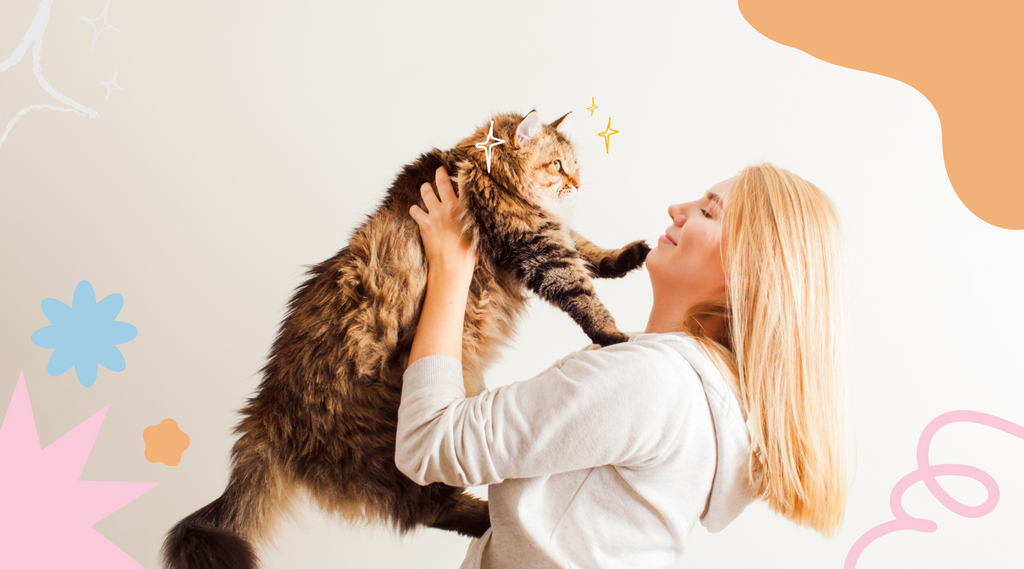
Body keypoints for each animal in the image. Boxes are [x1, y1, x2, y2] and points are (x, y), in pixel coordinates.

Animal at [163, 108, 651, 564]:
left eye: (574, 166)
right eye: (557, 164)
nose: (578, 185)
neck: (482, 172)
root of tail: (266, 407)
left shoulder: (552, 233)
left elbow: (588, 250)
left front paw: (625, 258)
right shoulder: (536, 246)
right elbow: (582, 291)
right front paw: (614, 337)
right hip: (393, 450)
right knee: (427, 508)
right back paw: (493, 521)